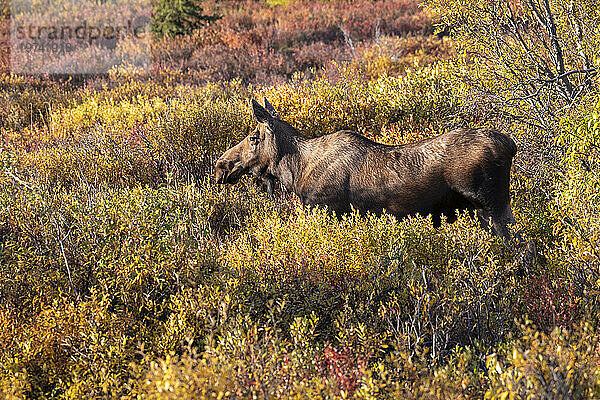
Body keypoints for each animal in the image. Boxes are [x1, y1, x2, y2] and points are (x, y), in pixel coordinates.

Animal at [214, 98, 516, 239]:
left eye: (253, 137)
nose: (220, 166)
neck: (295, 171)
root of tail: (510, 145)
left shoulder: (325, 208)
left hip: (492, 205)